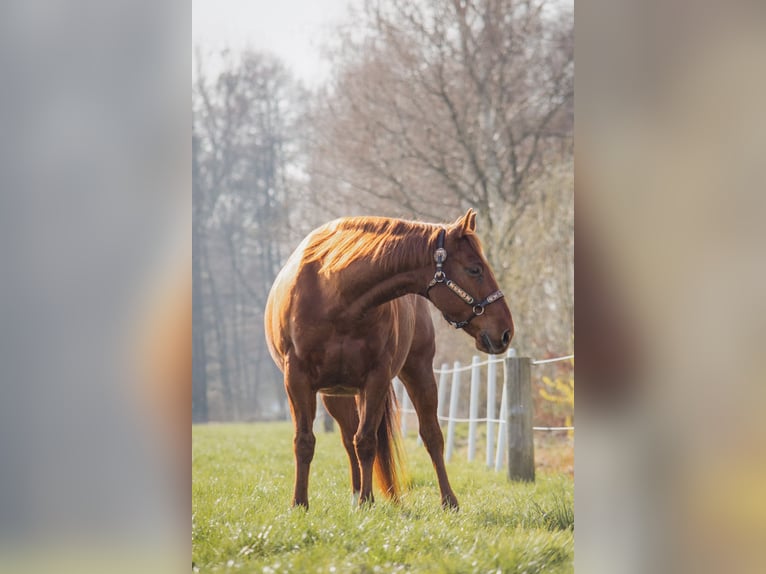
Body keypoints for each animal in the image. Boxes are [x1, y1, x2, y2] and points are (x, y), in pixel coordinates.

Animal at [266, 209, 516, 510]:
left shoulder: (376, 379)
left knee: (431, 436)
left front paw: (367, 502)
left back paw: (448, 500)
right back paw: (354, 494)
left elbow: (366, 441)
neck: (335, 295)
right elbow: (304, 441)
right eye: (475, 270)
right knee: (347, 438)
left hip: (417, 373)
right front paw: (300, 504)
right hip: (335, 394)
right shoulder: (297, 380)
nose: (505, 332)